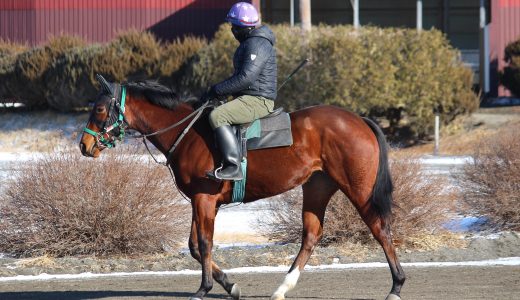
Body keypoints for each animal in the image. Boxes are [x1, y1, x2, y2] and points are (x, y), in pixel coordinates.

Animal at [80, 77, 406, 300]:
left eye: (99, 108)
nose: (84, 145)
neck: (189, 132)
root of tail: (358, 119)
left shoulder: (205, 199)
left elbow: (204, 244)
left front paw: (204, 288)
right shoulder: (200, 201)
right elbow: (194, 247)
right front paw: (230, 285)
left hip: (359, 189)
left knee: (380, 228)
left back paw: (397, 285)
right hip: (317, 188)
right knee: (312, 235)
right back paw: (283, 287)